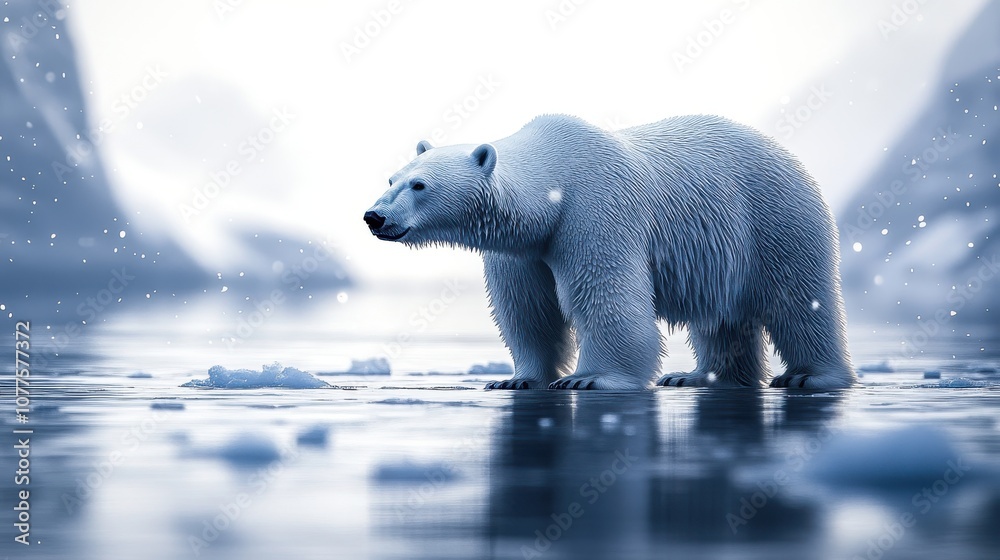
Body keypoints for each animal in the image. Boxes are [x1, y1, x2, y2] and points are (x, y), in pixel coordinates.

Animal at [364, 114, 856, 390]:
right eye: (391, 178)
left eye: (419, 185)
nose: (374, 216)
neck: (553, 181)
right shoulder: (523, 249)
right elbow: (528, 310)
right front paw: (515, 378)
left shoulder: (596, 210)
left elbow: (604, 295)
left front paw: (587, 378)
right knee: (720, 317)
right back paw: (697, 376)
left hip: (773, 219)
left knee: (798, 299)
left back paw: (809, 375)